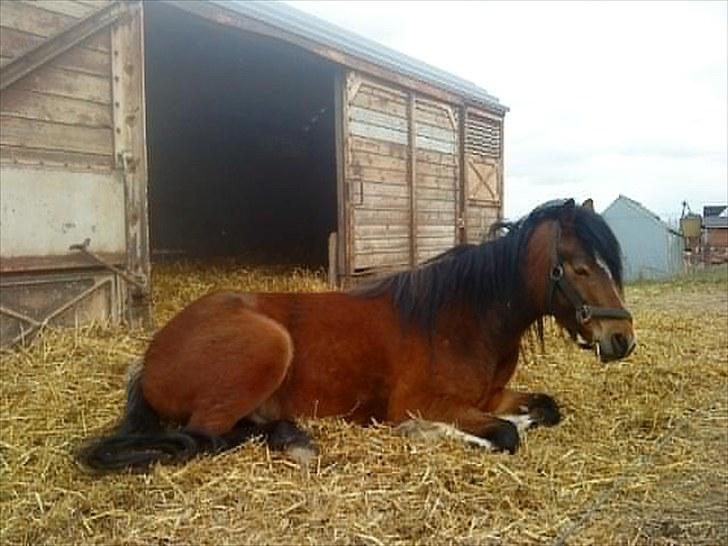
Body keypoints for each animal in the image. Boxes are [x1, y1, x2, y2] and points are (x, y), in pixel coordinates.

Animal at [79, 198, 636, 470]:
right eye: (581, 268)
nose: (622, 339)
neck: (463, 316)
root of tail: (151, 356)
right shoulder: (423, 403)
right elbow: (501, 433)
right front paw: (436, 433)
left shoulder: (490, 394)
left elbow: (544, 407)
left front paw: (528, 416)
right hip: (268, 347)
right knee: (204, 437)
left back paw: (293, 436)